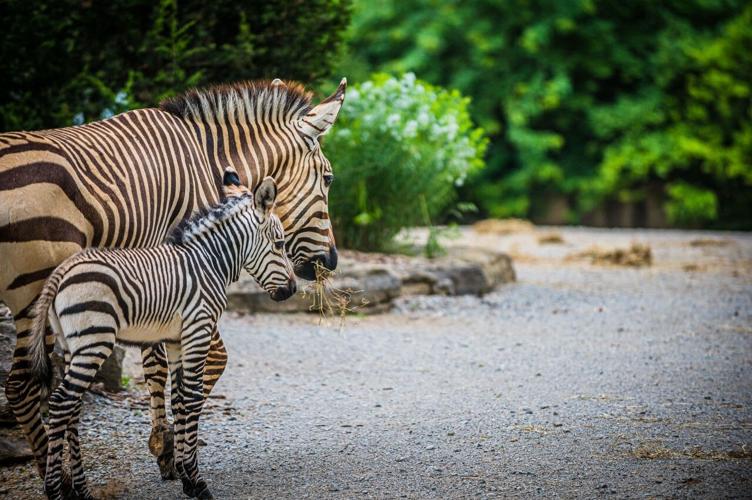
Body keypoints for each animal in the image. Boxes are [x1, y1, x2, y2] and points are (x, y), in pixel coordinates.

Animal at [28, 169, 293, 500]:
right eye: (280, 244)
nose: (292, 290)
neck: (209, 263)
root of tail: (61, 272)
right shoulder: (198, 330)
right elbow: (193, 397)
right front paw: (197, 481)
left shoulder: (176, 339)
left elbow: (179, 398)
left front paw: (185, 477)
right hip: (93, 342)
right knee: (62, 401)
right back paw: (54, 489)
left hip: (70, 346)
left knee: (71, 406)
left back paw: (81, 489)